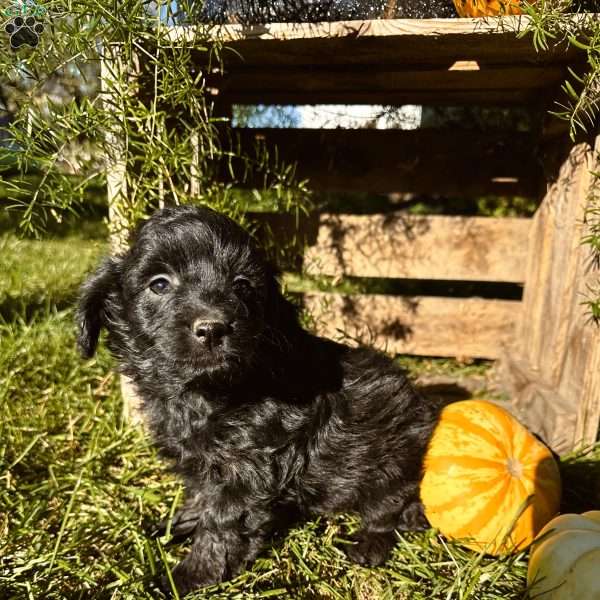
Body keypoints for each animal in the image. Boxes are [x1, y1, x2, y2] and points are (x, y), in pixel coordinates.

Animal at [78, 207, 440, 596]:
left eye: (242, 286)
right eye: (159, 284)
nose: (212, 328)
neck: (208, 392)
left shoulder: (249, 468)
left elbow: (222, 524)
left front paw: (188, 577)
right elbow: (201, 496)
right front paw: (180, 524)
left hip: (390, 458)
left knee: (386, 507)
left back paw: (368, 544)